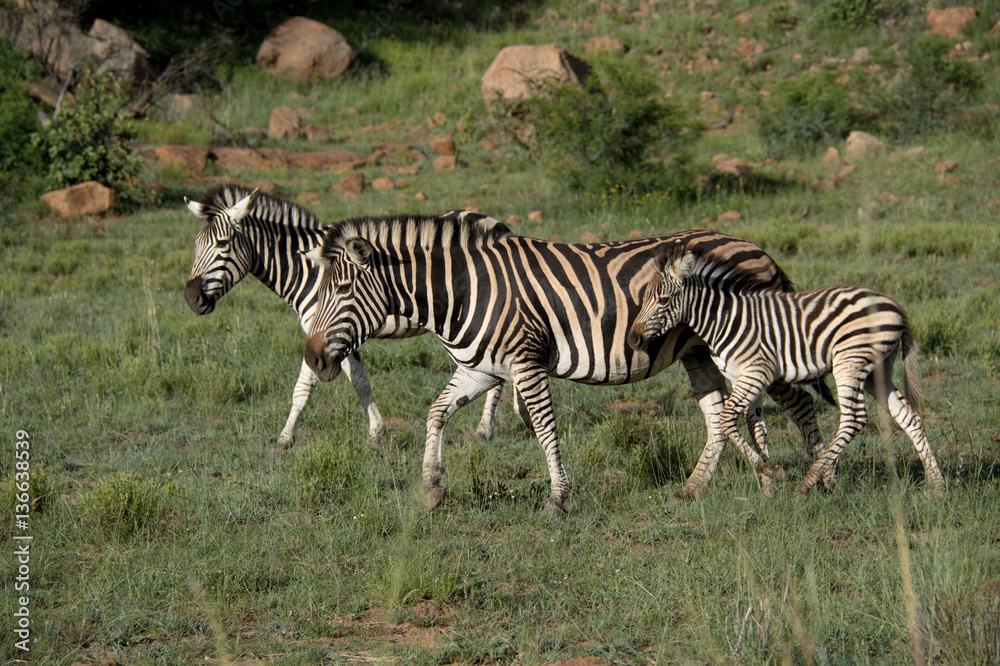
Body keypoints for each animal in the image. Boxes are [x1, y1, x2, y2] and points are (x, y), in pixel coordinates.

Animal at [183, 183, 513, 452]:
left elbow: (306, 388)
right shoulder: (338, 335)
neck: (308, 272)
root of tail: (498, 224)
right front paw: (375, 433)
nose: (190, 298)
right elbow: (359, 381)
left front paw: (286, 439)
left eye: (222, 244)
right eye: (197, 243)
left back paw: (483, 431)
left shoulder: (328, 331)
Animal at [301, 219, 832, 515]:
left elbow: (543, 427)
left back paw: (820, 481)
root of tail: (758, 249)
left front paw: (558, 497)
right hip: (700, 352)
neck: (465, 292)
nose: (312, 358)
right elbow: (436, 412)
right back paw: (717, 486)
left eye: (341, 291)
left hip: (761, 345)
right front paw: (431, 487)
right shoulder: (482, 369)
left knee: (800, 405)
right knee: (720, 413)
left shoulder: (525, 361)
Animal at [626, 247, 946, 500]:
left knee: (855, 418)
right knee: (908, 416)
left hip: (850, 361)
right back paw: (937, 489)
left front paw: (771, 473)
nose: (632, 340)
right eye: (644, 299)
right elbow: (756, 427)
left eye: (664, 300)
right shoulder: (745, 378)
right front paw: (768, 489)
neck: (724, 320)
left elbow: (727, 419)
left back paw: (808, 483)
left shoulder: (754, 373)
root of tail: (895, 306)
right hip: (876, 370)